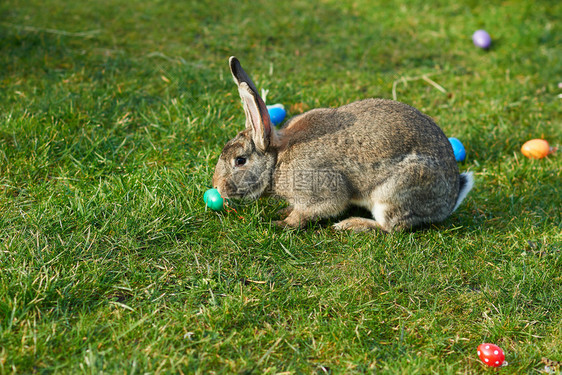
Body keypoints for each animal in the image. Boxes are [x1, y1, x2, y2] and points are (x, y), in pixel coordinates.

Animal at [211, 56, 472, 232]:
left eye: (240, 161)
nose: (217, 187)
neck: (277, 160)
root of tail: (449, 202)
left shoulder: (321, 191)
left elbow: (311, 211)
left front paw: (282, 223)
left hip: (394, 192)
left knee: (392, 227)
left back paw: (350, 225)